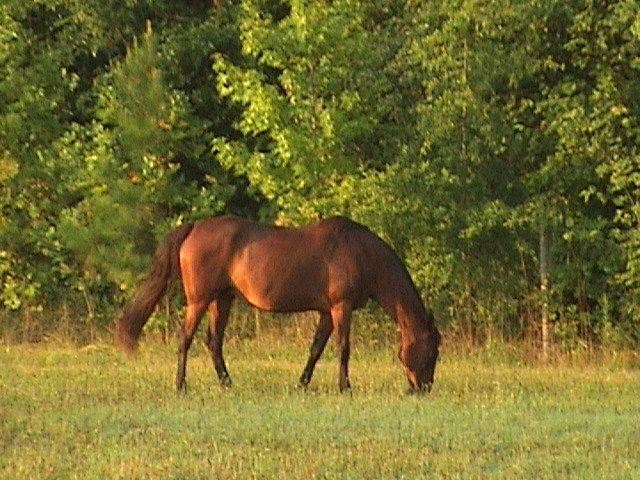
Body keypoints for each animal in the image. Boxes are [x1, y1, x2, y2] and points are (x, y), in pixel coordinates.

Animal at [115, 215, 440, 394]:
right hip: (199, 300)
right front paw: (344, 386)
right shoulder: (341, 307)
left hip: (222, 299)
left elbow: (316, 349)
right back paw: (181, 386)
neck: (360, 252)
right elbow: (343, 348)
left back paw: (227, 383)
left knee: (213, 342)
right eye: (432, 352)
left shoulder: (327, 312)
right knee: (186, 338)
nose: (423, 388)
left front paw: (302, 384)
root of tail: (194, 228)